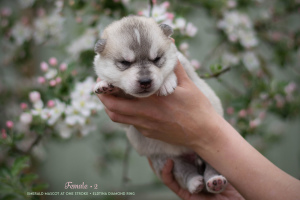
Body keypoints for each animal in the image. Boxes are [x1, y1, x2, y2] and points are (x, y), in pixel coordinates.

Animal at [94, 16, 227, 194]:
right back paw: (194, 183)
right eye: (124, 62)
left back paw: (215, 180)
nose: (145, 81)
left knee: (213, 168)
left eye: (156, 59)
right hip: (165, 159)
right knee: (183, 171)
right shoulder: (124, 123)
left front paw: (167, 82)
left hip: (213, 153)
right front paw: (104, 84)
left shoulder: (186, 68)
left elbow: (173, 71)